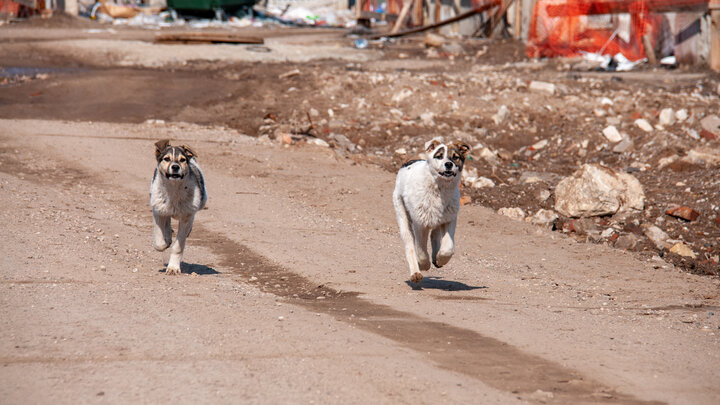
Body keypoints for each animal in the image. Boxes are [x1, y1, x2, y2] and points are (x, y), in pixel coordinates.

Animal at [150, 139, 207, 274]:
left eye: (182, 160)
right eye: (166, 159)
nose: (175, 166)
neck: (174, 190)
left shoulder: (187, 215)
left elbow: (178, 245)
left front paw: (173, 267)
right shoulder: (157, 210)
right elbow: (159, 242)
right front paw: (166, 241)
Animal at [394, 137, 472, 282]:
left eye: (455, 157)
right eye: (439, 156)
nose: (448, 164)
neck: (439, 188)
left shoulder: (449, 219)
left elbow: (448, 247)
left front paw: (441, 259)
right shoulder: (420, 224)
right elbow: (420, 250)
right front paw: (423, 264)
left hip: (437, 219)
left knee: (434, 235)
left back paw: (436, 257)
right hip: (402, 213)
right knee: (410, 244)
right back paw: (415, 272)